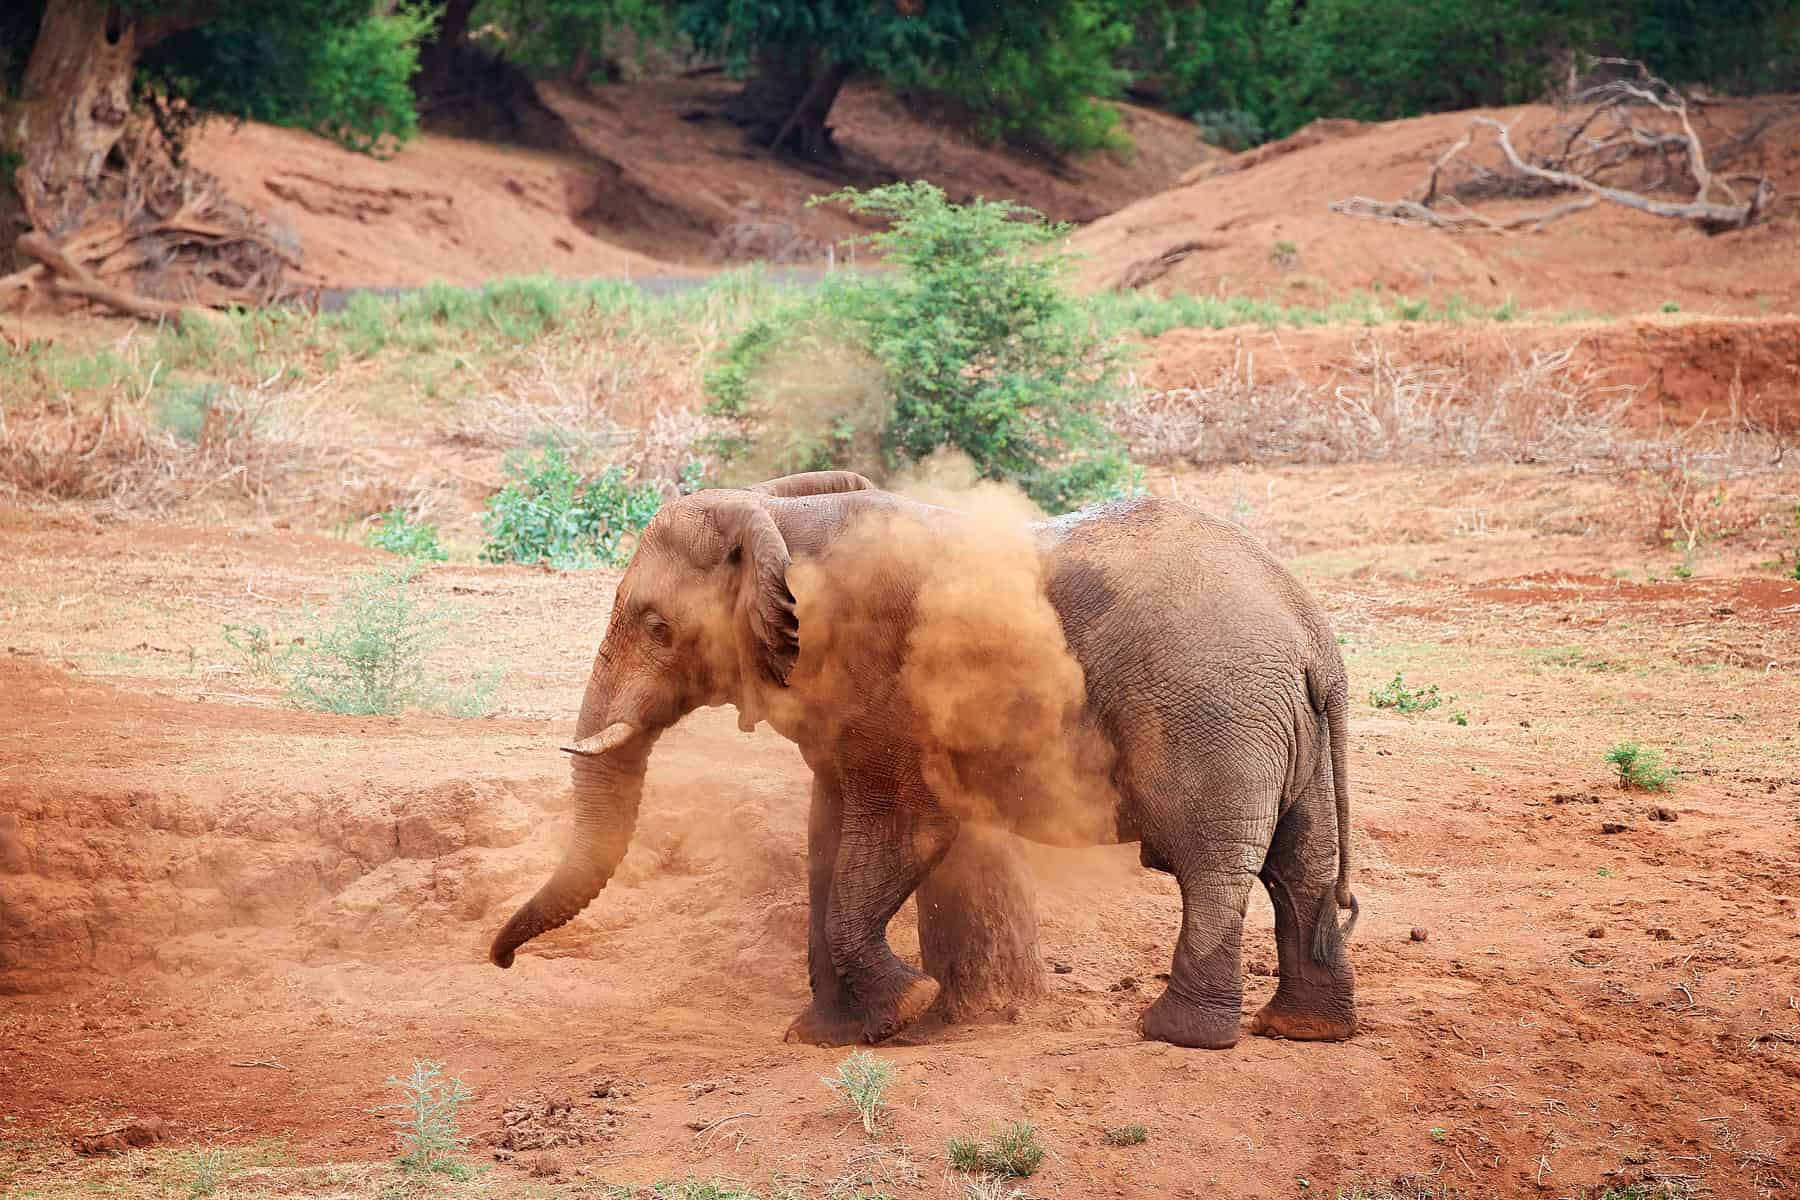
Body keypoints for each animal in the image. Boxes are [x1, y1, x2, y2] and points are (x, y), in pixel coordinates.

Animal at [489, 470, 1360, 1050]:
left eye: (657, 627)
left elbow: (902, 832)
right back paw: (1304, 1030)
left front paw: (903, 1011)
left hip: (1214, 716)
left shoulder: (886, 683)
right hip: (1285, 731)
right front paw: (828, 1034)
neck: (777, 515)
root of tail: (1313, 635)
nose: (500, 962)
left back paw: (1176, 1033)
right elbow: (827, 838)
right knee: (1302, 866)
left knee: (1213, 867)